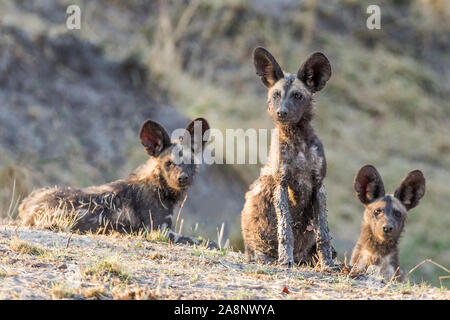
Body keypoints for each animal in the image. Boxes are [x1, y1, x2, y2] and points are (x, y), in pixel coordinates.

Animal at [18, 117, 212, 245]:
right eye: (169, 163)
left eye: (190, 161)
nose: (183, 177)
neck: (157, 186)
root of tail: (27, 204)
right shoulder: (159, 231)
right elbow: (204, 241)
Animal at [241, 47, 336, 268]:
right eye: (276, 95)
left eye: (298, 96)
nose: (281, 112)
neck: (298, 140)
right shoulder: (281, 184)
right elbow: (285, 230)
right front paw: (285, 260)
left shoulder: (318, 186)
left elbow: (323, 233)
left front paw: (328, 264)